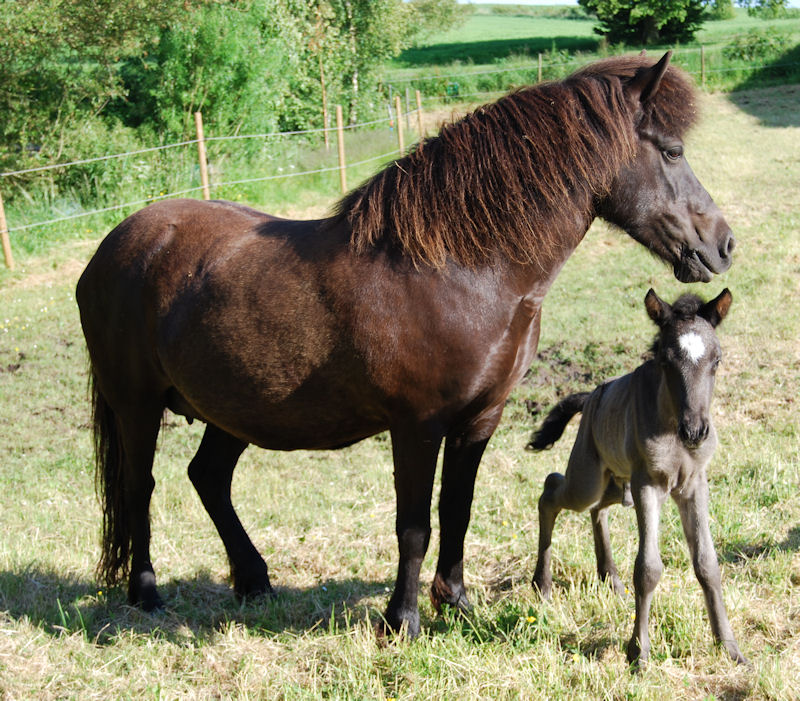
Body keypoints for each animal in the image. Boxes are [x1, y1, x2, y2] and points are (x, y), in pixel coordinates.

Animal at [528, 290, 748, 668]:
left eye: (716, 360)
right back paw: (542, 584)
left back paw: (610, 578)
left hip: (618, 483)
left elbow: (707, 563)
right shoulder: (648, 485)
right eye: (665, 361)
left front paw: (729, 647)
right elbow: (648, 568)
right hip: (589, 478)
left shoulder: (694, 485)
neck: (673, 429)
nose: (696, 431)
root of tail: (592, 396)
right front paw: (638, 652)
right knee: (552, 490)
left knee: (598, 509)